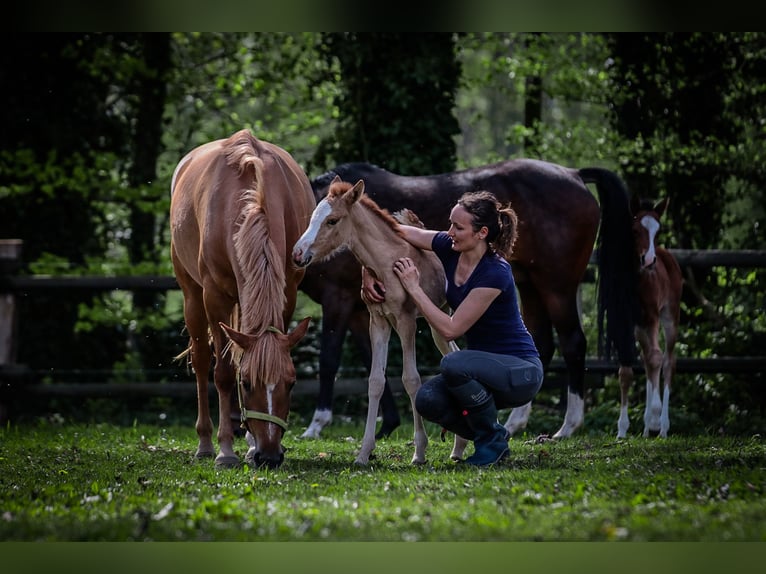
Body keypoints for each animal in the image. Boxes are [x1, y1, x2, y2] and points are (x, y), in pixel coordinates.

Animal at [172, 128, 316, 470]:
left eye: (292, 382)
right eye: (248, 384)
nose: (270, 456)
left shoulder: (287, 292)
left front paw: (250, 445)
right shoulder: (214, 297)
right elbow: (224, 374)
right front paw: (226, 451)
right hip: (192, 296)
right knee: (201, 361)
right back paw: (206, 443)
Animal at [294, 178, 462, 466]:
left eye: (332, 221)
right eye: (313, 217)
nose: (298, 253)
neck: (386, 263)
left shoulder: (405, 320)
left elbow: (411, 379)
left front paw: (419, 451)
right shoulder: (378, 321)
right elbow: (375, 381)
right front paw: (364, 452)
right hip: (437, 324)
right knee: (453, 353)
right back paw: (458, 445)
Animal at [304, 161, 640, 440]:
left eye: (332, 221)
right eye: (310, 216)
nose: (299, 253)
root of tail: (574, 174)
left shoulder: (338, 298)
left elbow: (329, 359)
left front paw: (316, 425)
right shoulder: (364, 313)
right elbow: (371, 367)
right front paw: (386, 425)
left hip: (557, 285)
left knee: (573, 343)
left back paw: (567, 426)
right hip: (529, 283)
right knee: (541, 344)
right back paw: (514, 422)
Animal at [616, 196, 684, 438]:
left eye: (658, 230)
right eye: (635, 230)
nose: (649, 260)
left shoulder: (653, 316)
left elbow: (657, 359)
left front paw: (654, 417)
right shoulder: (627, 321)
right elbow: (626, 370)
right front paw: (622, 429)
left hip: (670, 316)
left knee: (667, 361)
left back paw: (661, 426)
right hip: (641, 327)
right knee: (648, 362)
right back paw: (646, 429)